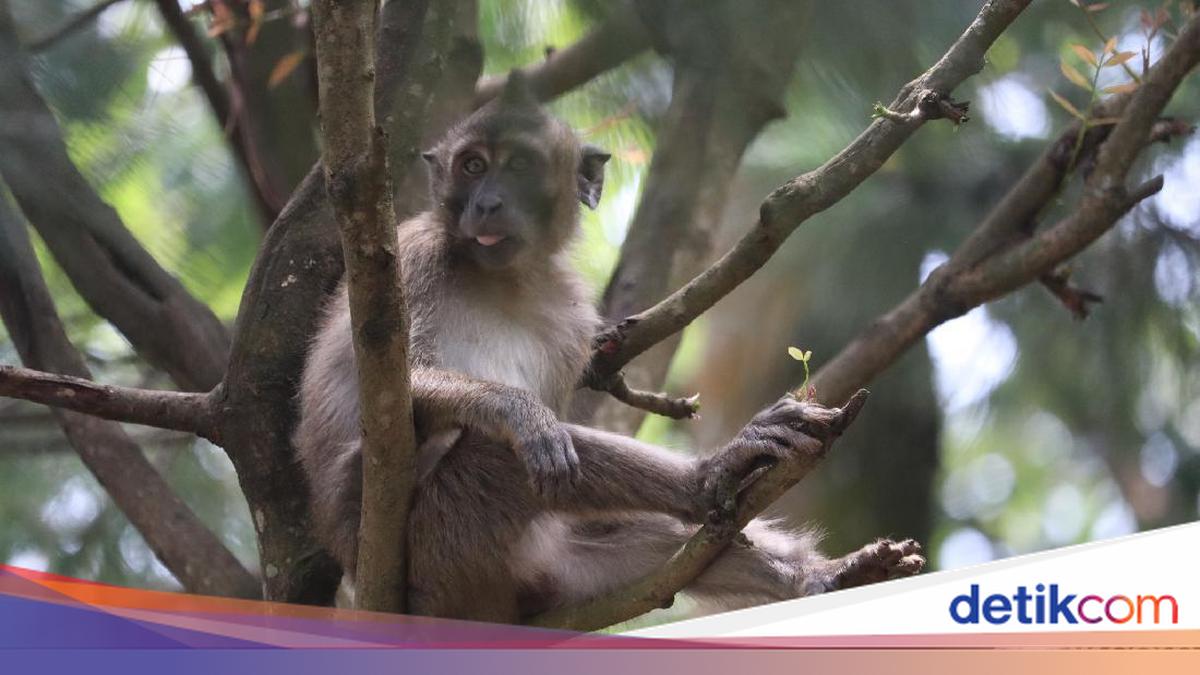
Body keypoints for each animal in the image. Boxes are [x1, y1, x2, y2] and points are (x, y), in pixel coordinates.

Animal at [294, 72, 924, 623]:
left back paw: (774, 537)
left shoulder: (574, 319)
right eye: (471, 167)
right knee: (491, 456)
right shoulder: (413, 259)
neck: (505, 278)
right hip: (428, 554)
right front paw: (520, 413)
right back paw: (703, 483)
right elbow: (406, 390)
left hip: (540, 572)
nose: (486, 203)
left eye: (518, 165)